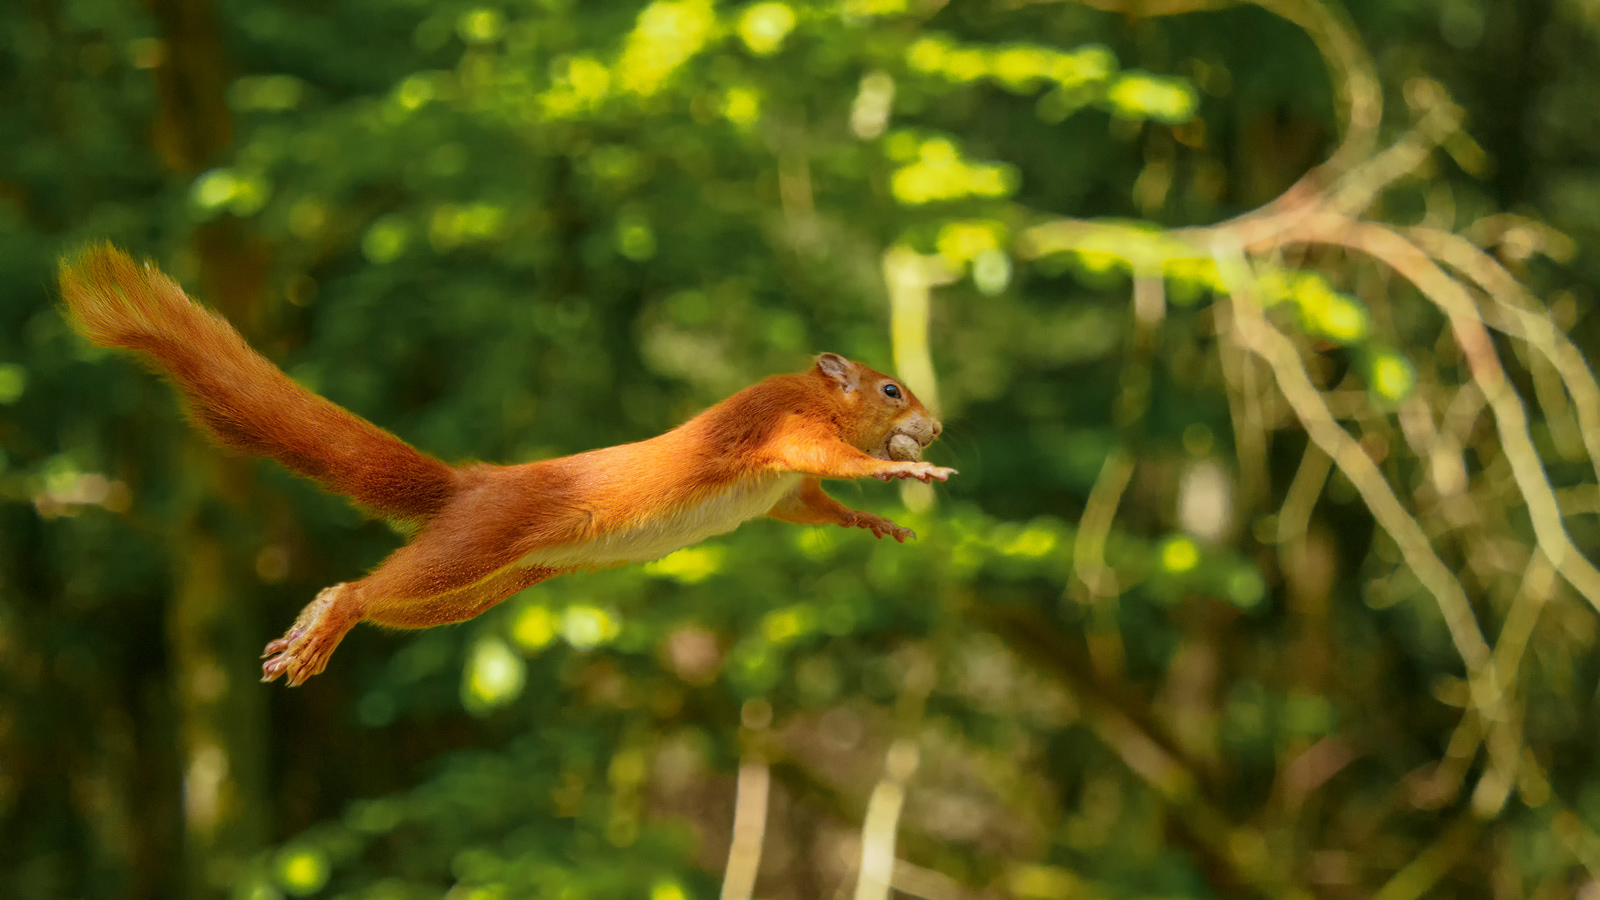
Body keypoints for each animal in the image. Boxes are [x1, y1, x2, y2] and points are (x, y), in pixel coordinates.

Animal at [59, 245, 954, 686]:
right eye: (891, 387)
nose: (937, 427)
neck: (810, 395)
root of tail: (473, 485)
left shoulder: (782, 494)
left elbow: (808, 505)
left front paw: (871, 522)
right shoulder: (779, 430)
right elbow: (826, 459)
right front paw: (903, 478)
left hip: (471, 593)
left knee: (388, 604)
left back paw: (316, 629)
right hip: (469, 550)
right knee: (366, 589)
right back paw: (328, 619)